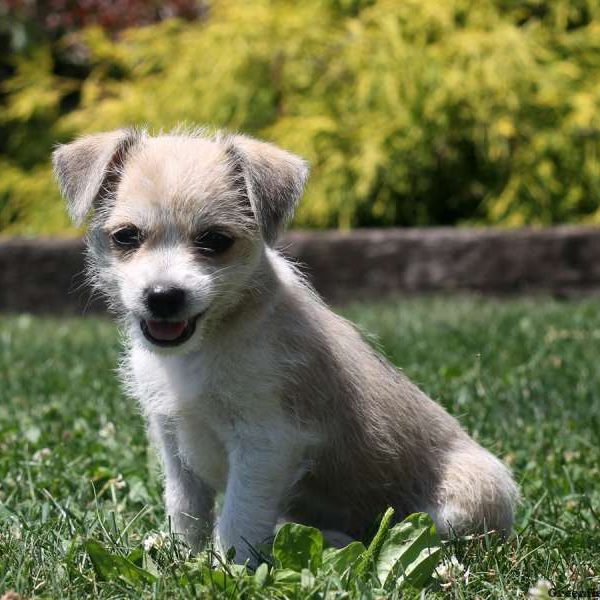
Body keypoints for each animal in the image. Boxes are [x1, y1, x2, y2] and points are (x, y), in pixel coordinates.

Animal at [54, 129, 516, 564]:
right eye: (126, 237)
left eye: (214, 240)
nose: (163, 296)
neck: (210, 340)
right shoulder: (171, 437)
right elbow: (185, 508)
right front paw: (182, 557)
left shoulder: (266, 442)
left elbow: (239, 518)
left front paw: (227, 569)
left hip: (469, 498)